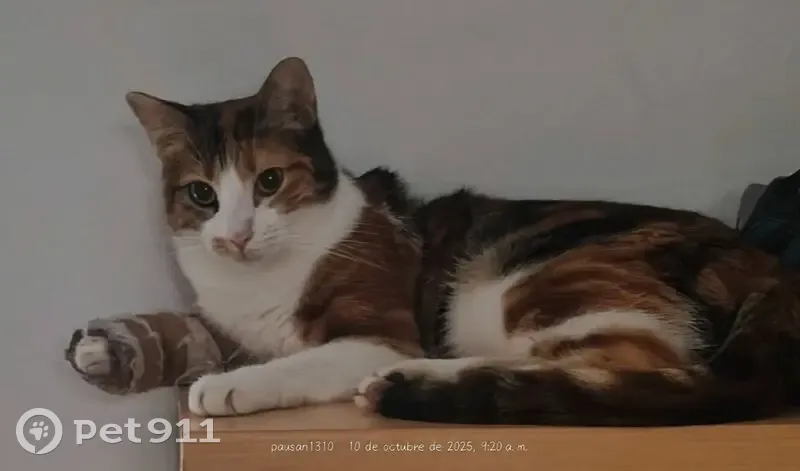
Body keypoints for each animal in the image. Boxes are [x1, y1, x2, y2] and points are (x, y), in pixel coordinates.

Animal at [67, 57, 423, 417]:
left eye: (270, 180)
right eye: (201, 193)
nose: (238, 236)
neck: (257, 279)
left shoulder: (387, 335)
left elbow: (306, 361)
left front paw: (226, 384)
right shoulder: (226, 326)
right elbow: (189, 329)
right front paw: (105, 348)